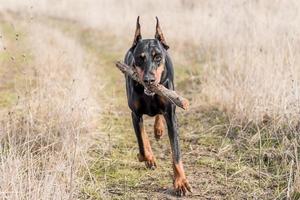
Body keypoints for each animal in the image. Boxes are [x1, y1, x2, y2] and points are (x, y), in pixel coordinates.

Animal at [123, 16, 190, 195]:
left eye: (157, 57)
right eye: (140, 58)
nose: (149, 80)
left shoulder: (171, 116)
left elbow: (176, 153)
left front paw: (180, 182)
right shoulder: (135, 114)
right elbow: (141, 142)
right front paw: (146, 157)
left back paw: (158, 130)